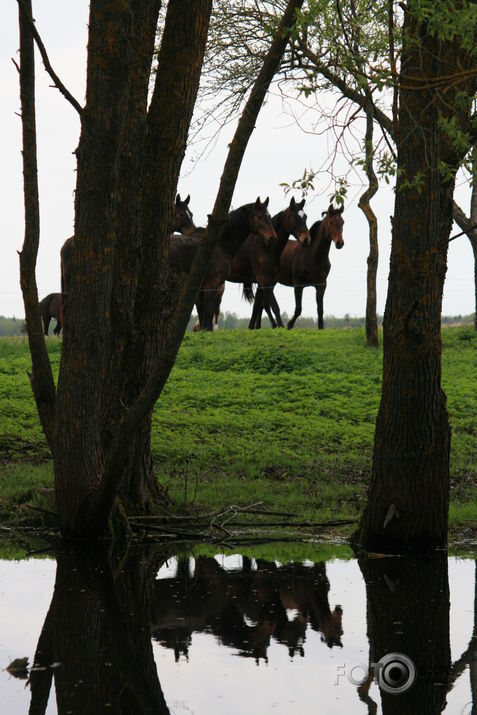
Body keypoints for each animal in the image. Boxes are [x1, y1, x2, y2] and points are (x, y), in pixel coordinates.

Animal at [170, 199, 276, 332]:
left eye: (269, 216)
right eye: (259, 217)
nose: (272, 237)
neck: (219, 244)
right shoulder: (211, 285)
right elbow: (207, 314)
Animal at [228, 196, 312, 330]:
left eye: (305, 217)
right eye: (294, 217)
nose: (306, 239)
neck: (265, 247)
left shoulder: (267, 282)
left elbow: (257, 307)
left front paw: (251, 328)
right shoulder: (264, 280)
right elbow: (274, 306)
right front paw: (281, 327)